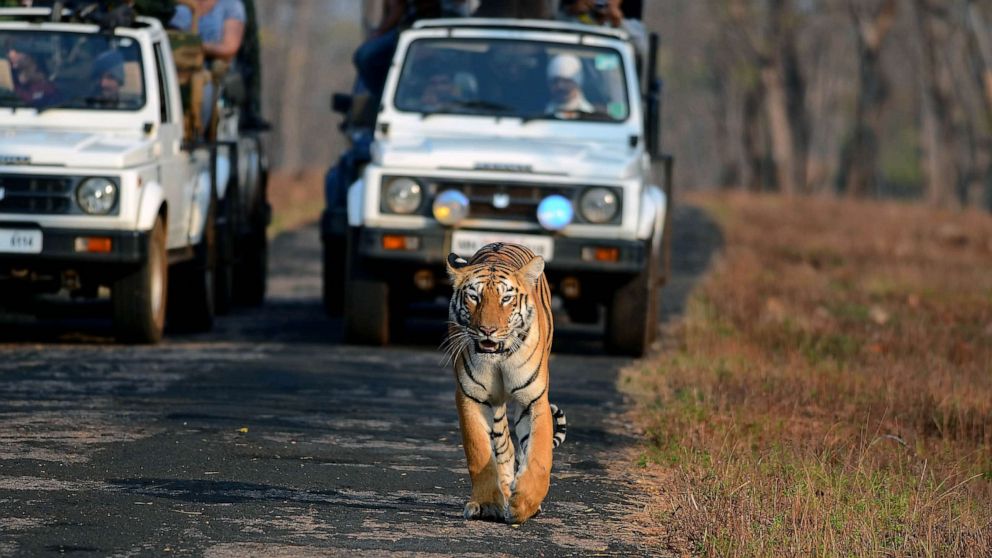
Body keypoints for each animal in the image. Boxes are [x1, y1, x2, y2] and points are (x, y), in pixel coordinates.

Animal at [443, 242, 567, 525]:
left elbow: (539, 456)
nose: (488, 330)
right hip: (495, 407)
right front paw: (487, 503)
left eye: (506, 299)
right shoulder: (471, 397)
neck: (498, 356)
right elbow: (479, 452)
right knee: (504, 447)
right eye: (474, 297)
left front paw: (524, 504)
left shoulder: (534, 399)